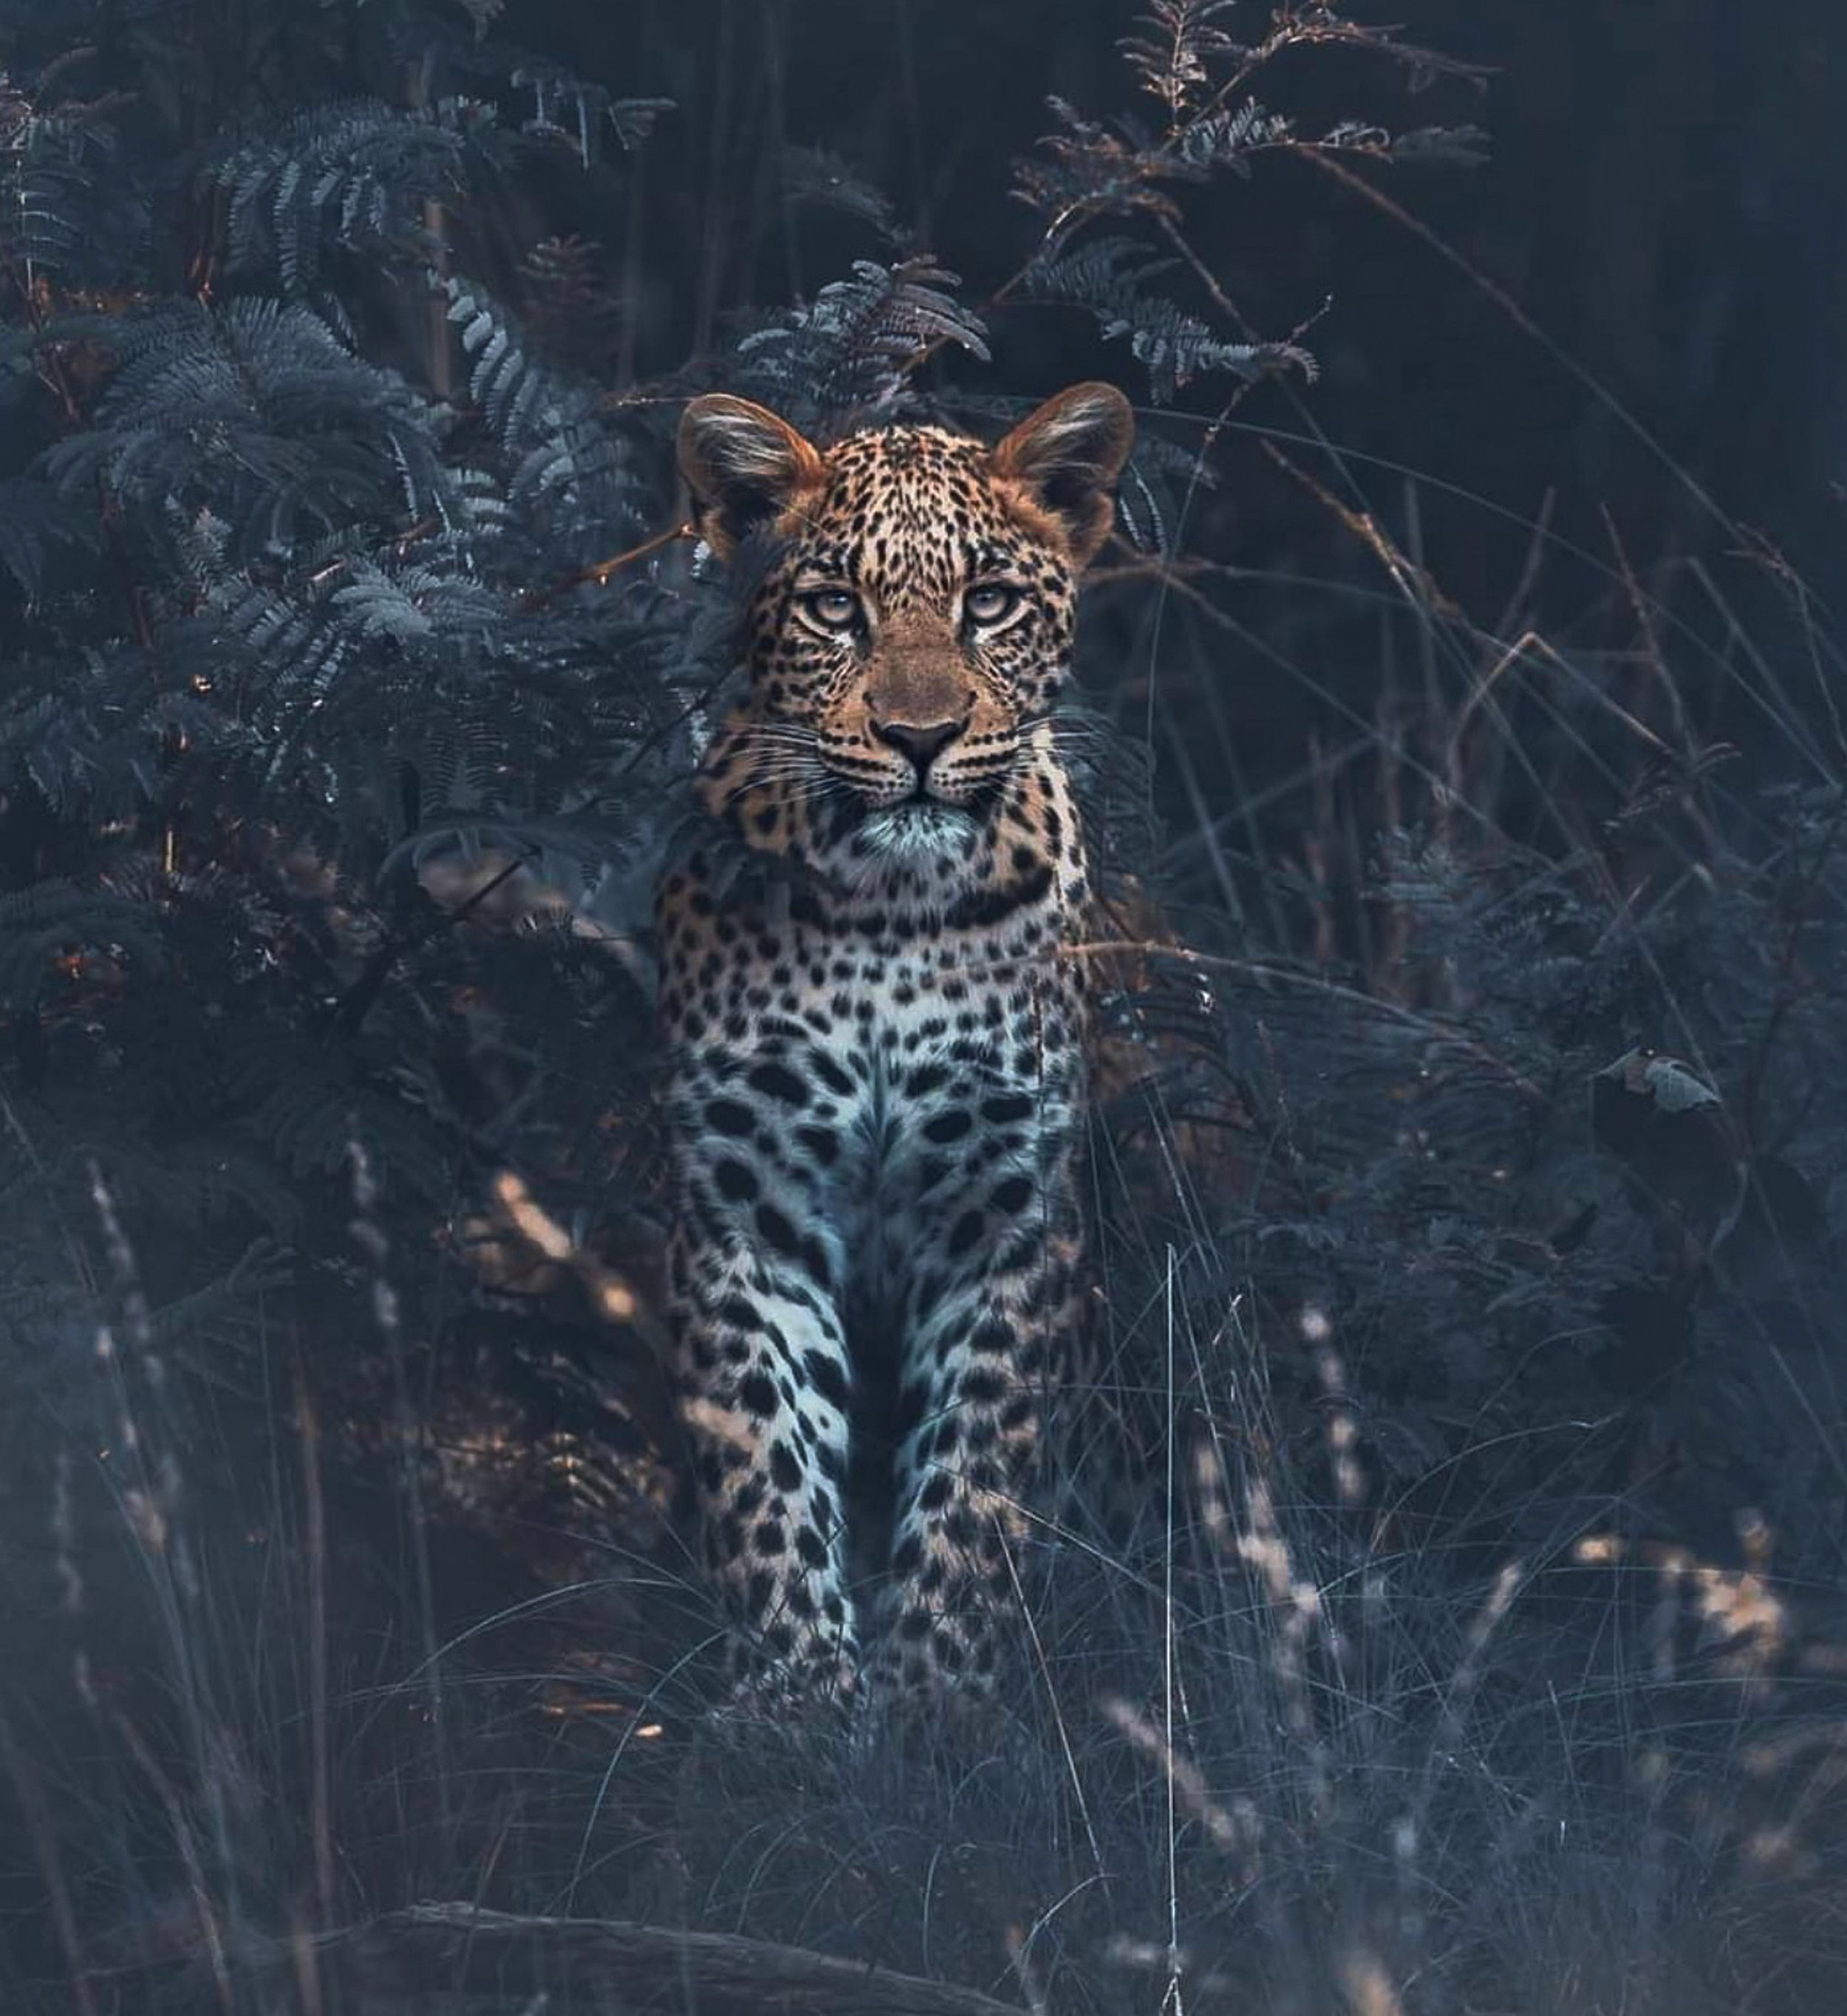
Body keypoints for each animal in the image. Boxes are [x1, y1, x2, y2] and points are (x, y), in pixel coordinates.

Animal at [658, 380, 1134, 1708]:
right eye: (835, 607)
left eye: (991, 602)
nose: (921, 737)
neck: (890, 909)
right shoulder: (744, 1206)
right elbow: (763, 1466)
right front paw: (800, 1703)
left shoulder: (1007, 1211)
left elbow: (977, 1478)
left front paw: (941, 1705)